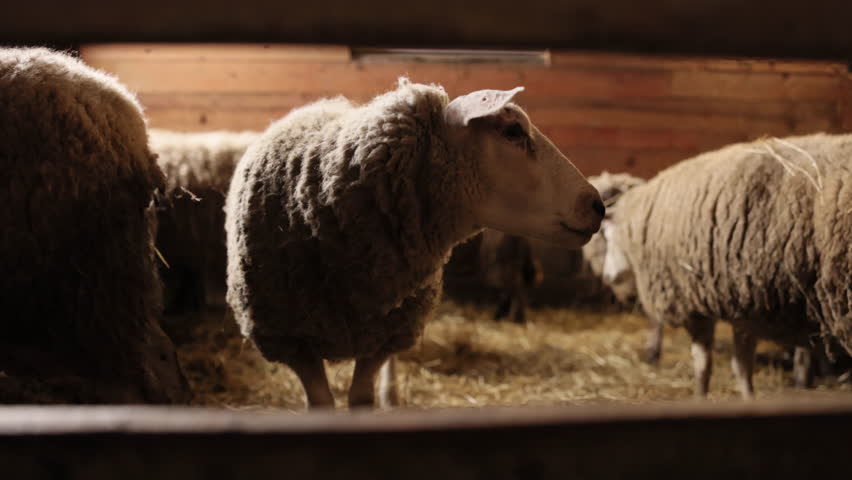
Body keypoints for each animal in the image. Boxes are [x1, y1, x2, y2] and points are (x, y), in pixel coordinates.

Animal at [225, 79, 605, 408]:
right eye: (513, 132)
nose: (597, 206)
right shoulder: (290, 339)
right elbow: (322, 403)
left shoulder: (382, 335)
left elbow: (361, 398)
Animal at [601, 133, 852, 398]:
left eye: (608, 237)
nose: (606, 277)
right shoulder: (743, 305)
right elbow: (739, 366)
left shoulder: (707, 303)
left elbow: (709, 366)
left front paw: (704, 396)